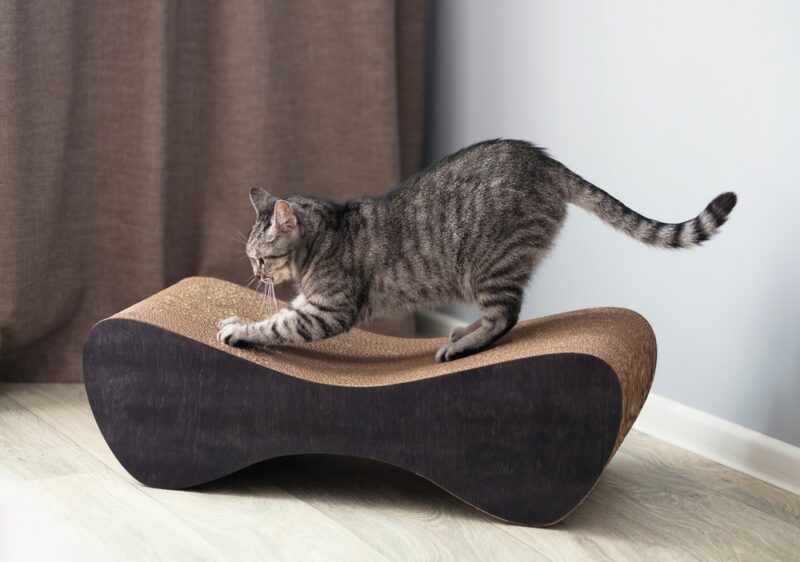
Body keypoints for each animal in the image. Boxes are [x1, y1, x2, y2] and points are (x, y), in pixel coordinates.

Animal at [214, 138, 736, 360]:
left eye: (260, 258)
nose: (256, 274)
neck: (326, 239)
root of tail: (546, 163)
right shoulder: (311, 301)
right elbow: (276, 315)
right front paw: (238, 315)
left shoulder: (326, 309)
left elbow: (278, 324)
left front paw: (241, 330)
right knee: (500, 317)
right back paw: (463, 331)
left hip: (492, 264)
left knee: (506, 316)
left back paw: (463, 343)